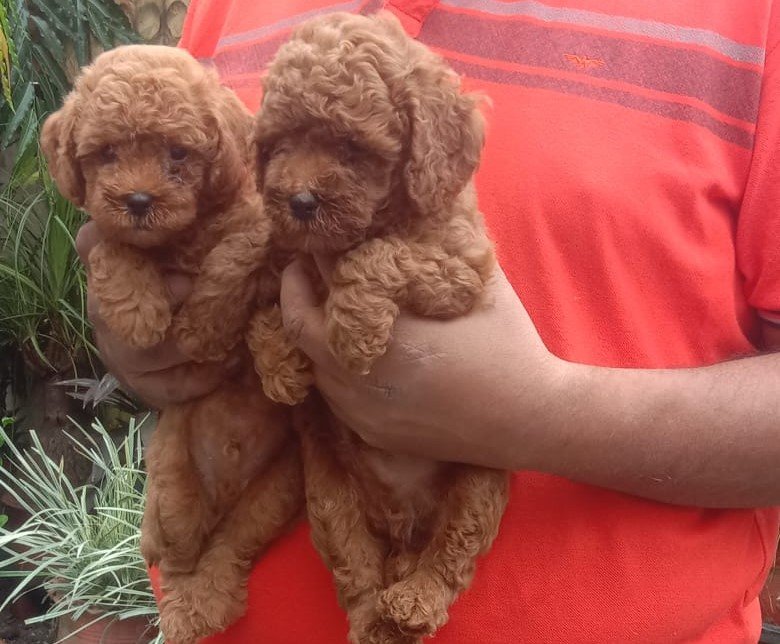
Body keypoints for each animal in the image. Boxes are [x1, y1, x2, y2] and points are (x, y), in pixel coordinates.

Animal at [41, 44, 304, 640]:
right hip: (171, 488)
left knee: (230, 548)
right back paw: (185, 609)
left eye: (179, 153)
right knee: (181, 555)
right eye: (107, 153)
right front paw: (139, 312)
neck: (184, 235)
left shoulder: (258, 227)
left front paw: (213, 333)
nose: (139, 199)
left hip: (274, 494)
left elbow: (236, 259)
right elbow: (113, 244)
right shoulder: (108, 231)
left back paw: (204, 603)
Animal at [251, 15, 512, 644]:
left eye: (352, 147)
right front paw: (279, 366)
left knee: (451, 555)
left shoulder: (462, 268)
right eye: (279, 146)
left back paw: (415, 600)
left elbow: (379, 255)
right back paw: (375, 617)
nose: (298, 200)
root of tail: (402, 526)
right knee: (357, 569)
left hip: (481, 479)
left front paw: (354, 331)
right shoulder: (285, 259)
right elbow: (266, 305)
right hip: (329, 494)